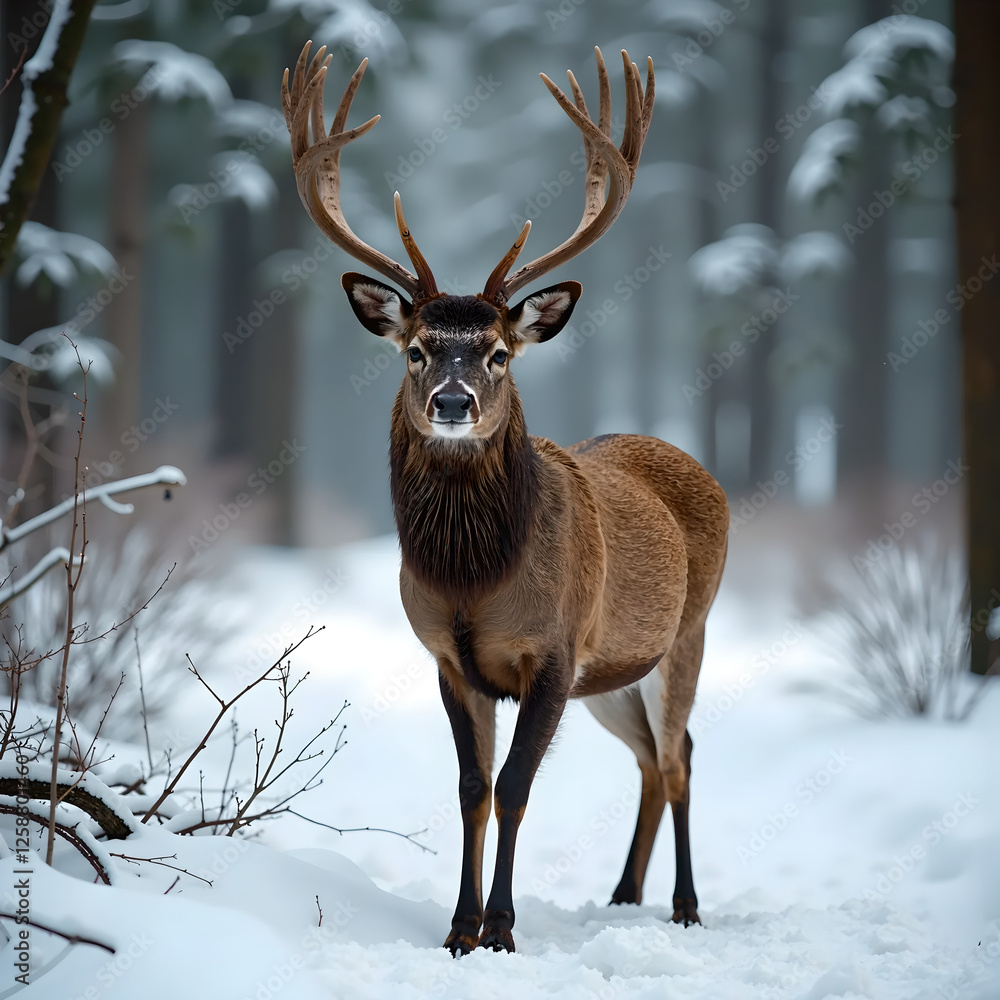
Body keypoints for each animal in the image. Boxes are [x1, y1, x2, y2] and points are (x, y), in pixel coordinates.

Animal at [282, 41, 729, 955]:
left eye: (497, 352)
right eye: (417, 349)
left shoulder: (553, 650)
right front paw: (457, 929)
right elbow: (472, 787)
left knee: (679, 755)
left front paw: (501, 929)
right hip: (616, 670)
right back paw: (622, 895)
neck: (473, 577)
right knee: (649, 758)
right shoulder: (450, 659)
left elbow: (519, 785)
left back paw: (685, 904)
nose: (453, 402)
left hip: (687, 632)